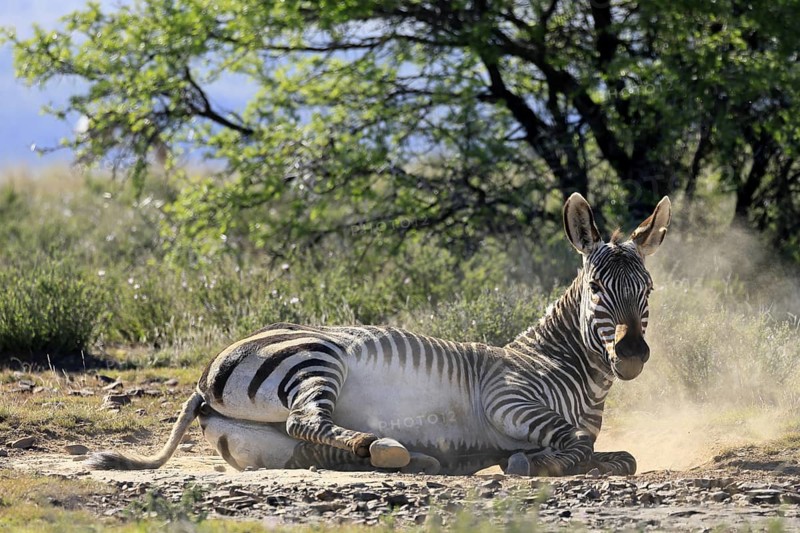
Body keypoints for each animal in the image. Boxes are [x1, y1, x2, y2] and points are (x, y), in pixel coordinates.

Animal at [87, 193, 671, 476]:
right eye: (596, 288)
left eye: (648, 289)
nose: (631, 354)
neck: (565, 367)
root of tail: (204, 377)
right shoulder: (506, 399)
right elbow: (575, 442)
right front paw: (539, 463)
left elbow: (617, 455)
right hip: (314, 359)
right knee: (309, 421)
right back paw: (389, 448)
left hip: (267, 444)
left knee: (315, 448)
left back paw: (418, 457)